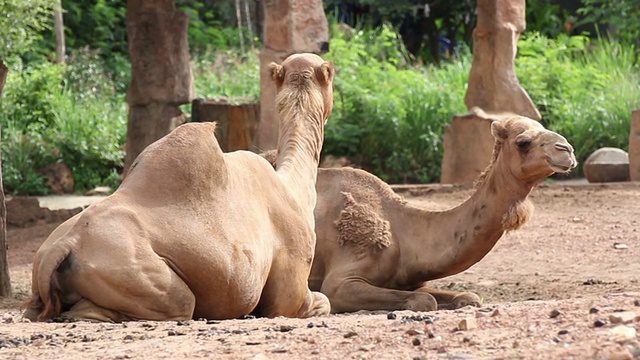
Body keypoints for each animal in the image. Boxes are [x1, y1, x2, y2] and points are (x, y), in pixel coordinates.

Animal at [25, 52, 336, 322]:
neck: (294, 188)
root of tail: (63, 246)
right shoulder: (290, 290)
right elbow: (321, 301)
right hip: (133, 272)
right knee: (179, 302)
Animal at [262, 115, 576, 312]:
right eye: (523, 142)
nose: (567, 150)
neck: (404, 234)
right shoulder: (341, 281)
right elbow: (424, 301)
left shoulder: (414, 279)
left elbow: (467, 296)